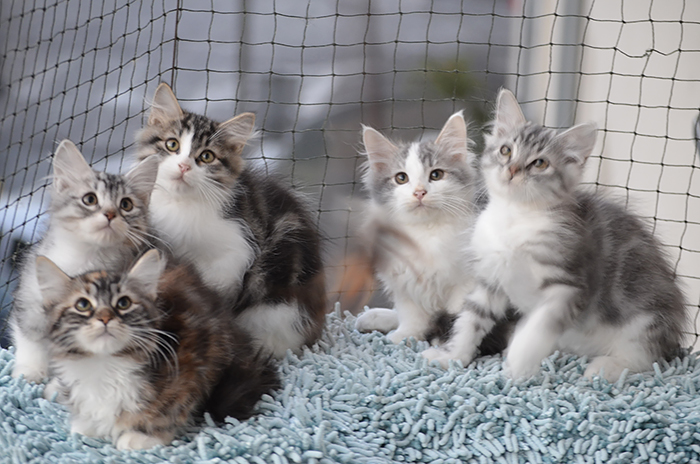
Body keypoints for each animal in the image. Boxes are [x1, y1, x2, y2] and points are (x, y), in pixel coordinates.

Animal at [11, 140, 158, 382]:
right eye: (90, 199)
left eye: (126, 204)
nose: (110, 214)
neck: (88, 258)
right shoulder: (29, 296)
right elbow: (30, 338)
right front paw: (29, 373)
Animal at [35, 249, 279, 450]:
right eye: (83, 305)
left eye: (123, 303)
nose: (105, 318)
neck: (104, 364)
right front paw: (89, 423)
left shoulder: (194, 356)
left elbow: (172, 408)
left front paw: (144, 436)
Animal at [135, 83, 327, 358]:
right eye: (172, 145)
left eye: (206, 157)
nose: (183, 166)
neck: (180, 205)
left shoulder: (235, 254)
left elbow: (215, 291)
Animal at [353, 113, 515, 355]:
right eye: (401, 178)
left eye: (436, 175)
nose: (419, 192)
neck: (425, 233)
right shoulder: (403, 282)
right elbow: (412, 317)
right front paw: (404, 337)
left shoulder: (466, 283)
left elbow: (460, 318)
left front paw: (447, 344)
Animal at [422, 88, 688, 381]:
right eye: (506, 150)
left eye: (539, 163)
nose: (512, 170)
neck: (515, 217)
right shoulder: (490, 280)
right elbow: (470, 321)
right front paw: (452, 357)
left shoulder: (569, 285)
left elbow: (538, 327)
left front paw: (519, 362)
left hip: (646, 318)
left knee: (645, 356)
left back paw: (604, 368)